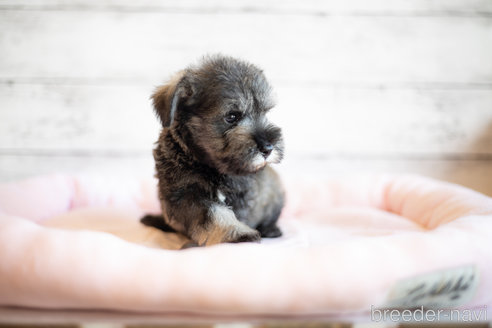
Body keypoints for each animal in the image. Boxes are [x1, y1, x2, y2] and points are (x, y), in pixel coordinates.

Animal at [140, 54, 284, 246]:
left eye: (265, 113)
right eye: (232, 116)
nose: (268, 148)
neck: (209, 165)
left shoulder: (242, 196)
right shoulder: (186, 195)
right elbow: (214, 215)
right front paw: (238, 233)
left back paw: (271, 229)